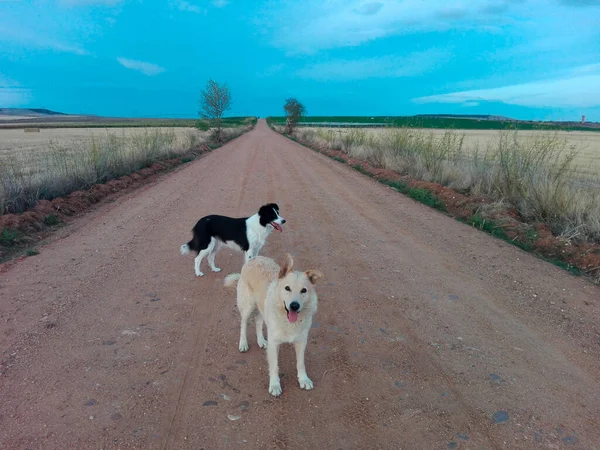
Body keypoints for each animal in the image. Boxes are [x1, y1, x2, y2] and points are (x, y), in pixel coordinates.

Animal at [224, 253, 324, 398]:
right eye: (287, 288)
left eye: (304, 290)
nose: (294, 306)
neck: (288, 321)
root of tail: (254, 258)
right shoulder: (274, 343)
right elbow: (274, 366)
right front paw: (275, 385)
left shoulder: (301, 341)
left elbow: (301, 363)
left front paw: (303, 379)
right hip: (247, 307)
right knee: (243, 324)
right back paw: (243, 343)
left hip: (261, 309)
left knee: (258, 321)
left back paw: (261, 340)